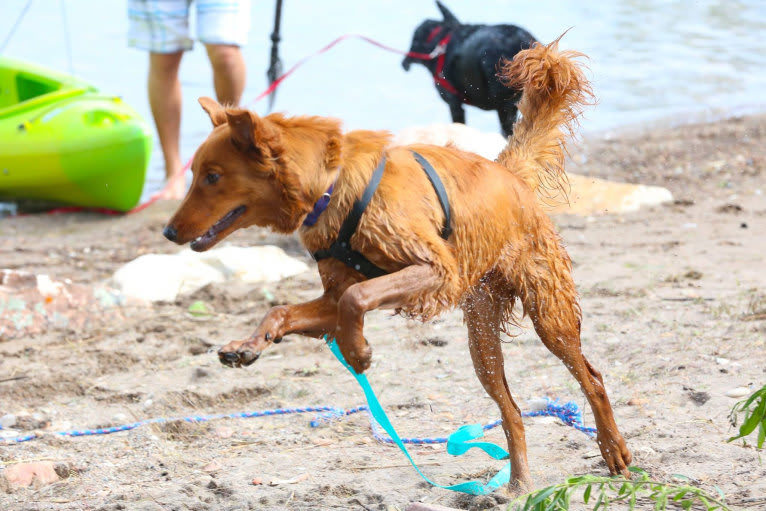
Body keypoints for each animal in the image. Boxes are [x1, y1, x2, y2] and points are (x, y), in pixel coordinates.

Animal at [162, 38, 632, 494]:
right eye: (197, 174)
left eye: (212, 176)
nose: (167, 231)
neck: (333, 188)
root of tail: (510, 172)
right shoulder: (332, 297)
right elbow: (286, 310)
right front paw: (248, 345)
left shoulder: (434, 270)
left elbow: (356, 298)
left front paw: (357, 351)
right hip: (481, 337)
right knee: (512, 410)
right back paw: (517, 484)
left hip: (549, 312)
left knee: (592, 378)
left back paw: (614, 451)